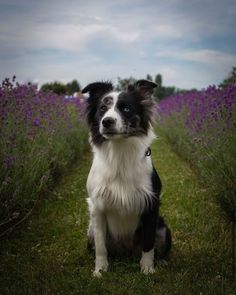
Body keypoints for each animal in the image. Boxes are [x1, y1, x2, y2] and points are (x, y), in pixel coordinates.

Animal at [82, 80, 171, 278]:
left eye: (126, 108)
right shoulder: (97, 207)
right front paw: (100, 270)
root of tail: (126, 249)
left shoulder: (151, 204)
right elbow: (101, 246)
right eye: (102, 108)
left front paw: (147, 268)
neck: (119, 152)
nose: (106, 121)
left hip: (163, 228)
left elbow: (148, 243)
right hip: (90, 230)